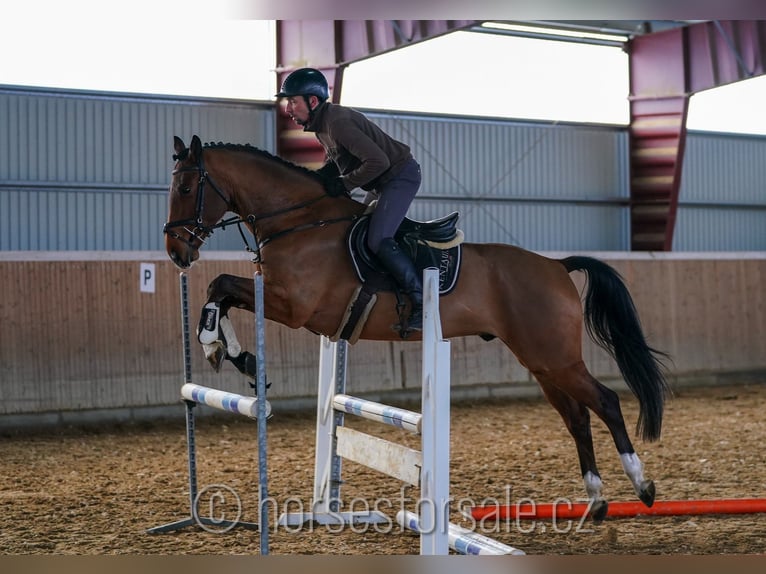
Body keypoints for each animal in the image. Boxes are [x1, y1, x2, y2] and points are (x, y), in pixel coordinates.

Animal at [165, 135, 668, 520]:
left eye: (188, 186)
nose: (175, 252)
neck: (300, 220)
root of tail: (556, 266)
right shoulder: (279, 299)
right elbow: (221, 290)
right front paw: (234, 354)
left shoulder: (294, 307)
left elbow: (221, 284)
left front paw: (214, 344)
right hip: (542, 363)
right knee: (578, 417)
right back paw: (597, 501)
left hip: (556, 358)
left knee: (606, 402)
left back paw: (642, 487)